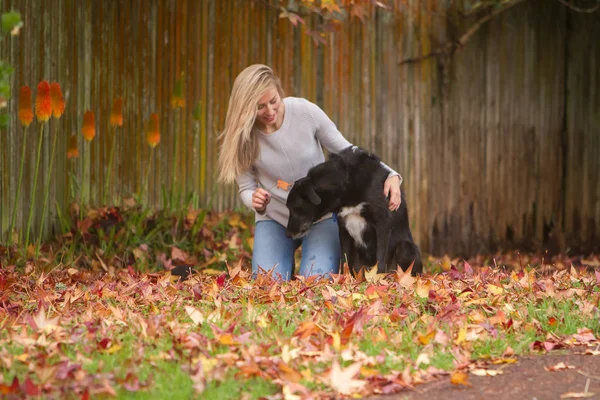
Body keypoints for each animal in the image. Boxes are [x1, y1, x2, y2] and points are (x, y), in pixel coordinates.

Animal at [286, 146, 422, 276]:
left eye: (294, 208)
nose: (287, 235)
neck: (346, 183)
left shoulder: (383, 223)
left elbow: (380, 259)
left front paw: (377, 278)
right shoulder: (343, 226)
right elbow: (344, 259)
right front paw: (343, 279)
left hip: (405, 248)